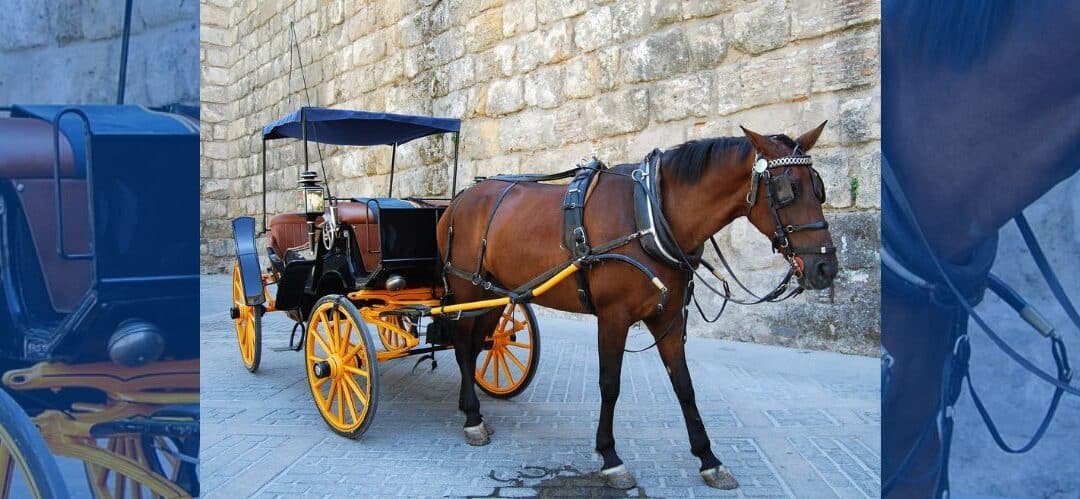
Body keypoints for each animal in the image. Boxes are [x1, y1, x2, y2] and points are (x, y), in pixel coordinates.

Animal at [436, 123, 838, 490]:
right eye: (788, 190)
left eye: (819, 187)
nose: (825, 267)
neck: (650, 217)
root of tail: (459, 199)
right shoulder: (613, 317)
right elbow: (610, 384)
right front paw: (610, 457)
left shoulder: (669, 319)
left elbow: (684, 385)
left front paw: (708, 458)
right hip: (466, 288)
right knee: (462, 346)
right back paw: (472, 418)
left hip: (495, 294)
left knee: (478, 345)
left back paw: (470, 406)